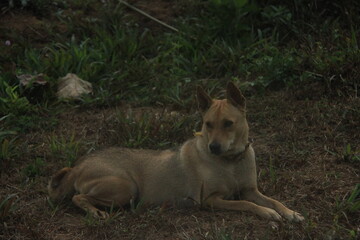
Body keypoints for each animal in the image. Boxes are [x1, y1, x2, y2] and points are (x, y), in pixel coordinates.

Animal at [48, 82, 304, 221]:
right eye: (208, 124)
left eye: (228, 124)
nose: (213, 147)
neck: (231, 161)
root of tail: (79, 164)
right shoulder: (210, 200)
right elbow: (246, 204)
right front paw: (267, 213)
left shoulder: (251, 190)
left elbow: (273, 200)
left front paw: (289, 212)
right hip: (125, 188)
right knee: (77, 196)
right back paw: (94, 212)